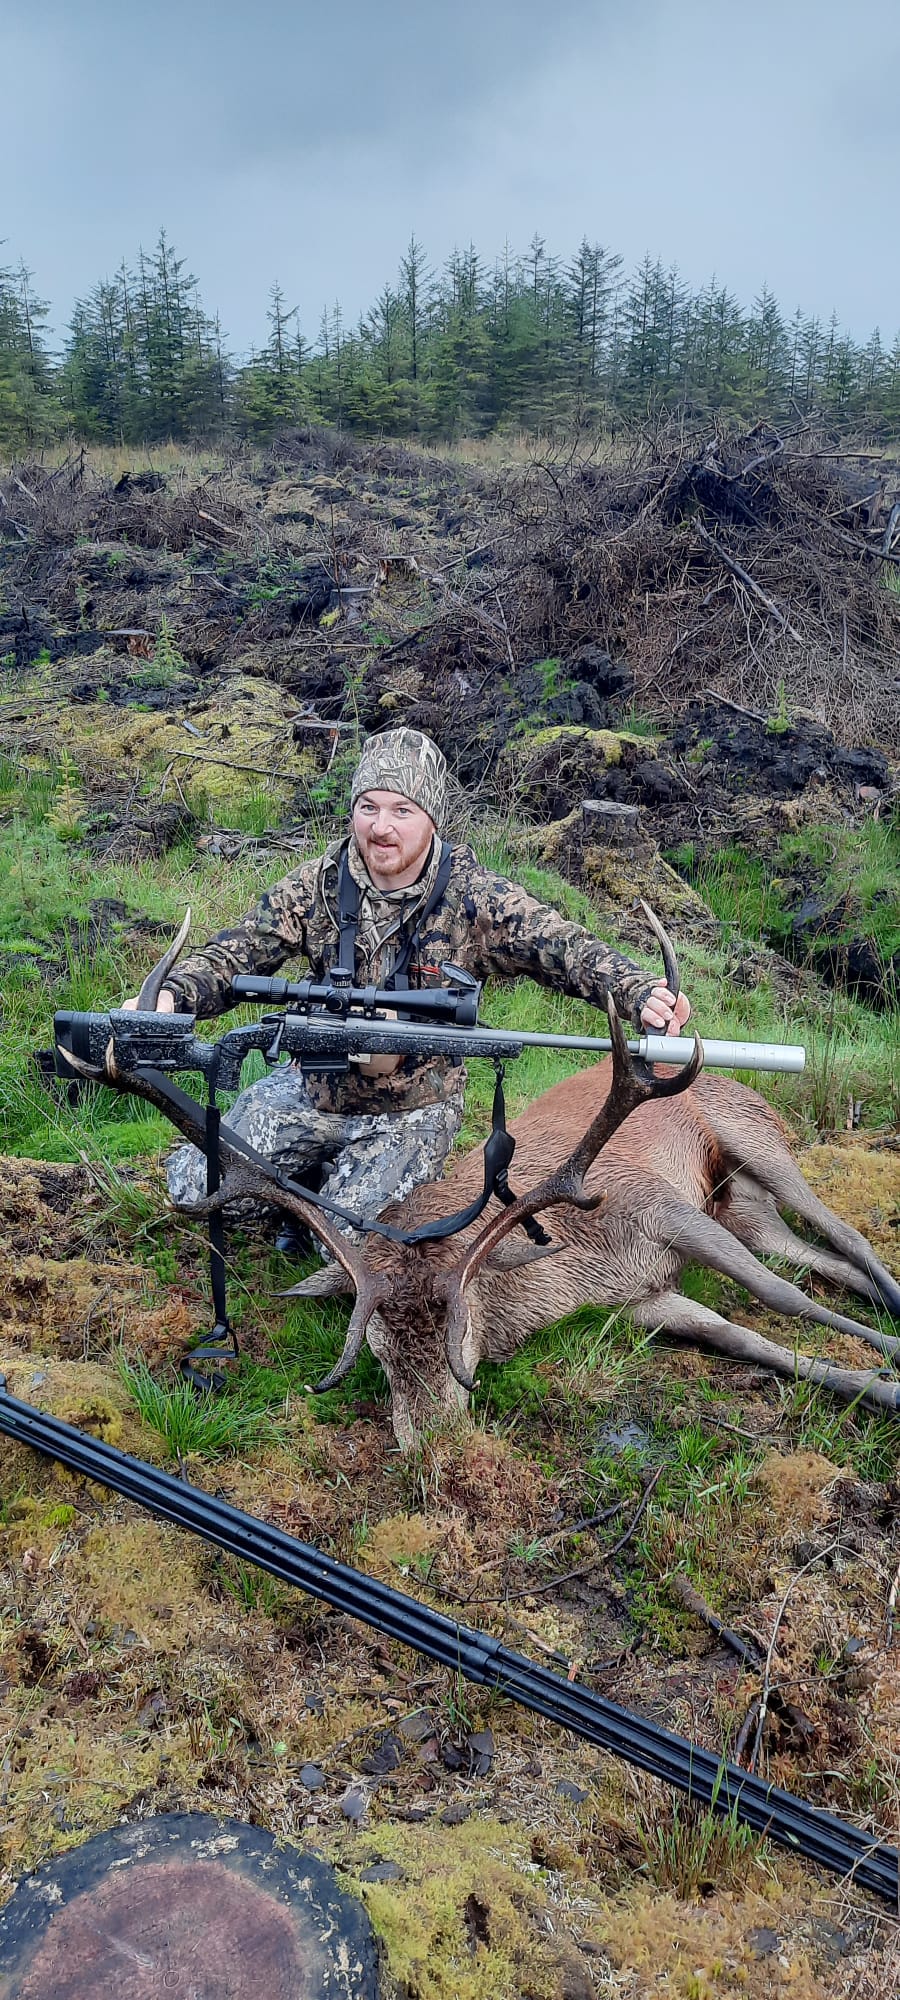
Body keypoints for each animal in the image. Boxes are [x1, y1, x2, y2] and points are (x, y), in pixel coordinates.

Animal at [61, 912, 900, 1449]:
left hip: (755, 1139)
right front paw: (877, 1383)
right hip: (741, 1209)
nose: (431, 1447)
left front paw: (889, 1366)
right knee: (813, 1256)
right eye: (375, 1350)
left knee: (845, 1236)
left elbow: (779, 1301)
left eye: (461, 1337)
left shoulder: (660, 1206)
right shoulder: (640, 1298)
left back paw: (889, 1297)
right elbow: (750, 1338)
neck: (575, 1268)